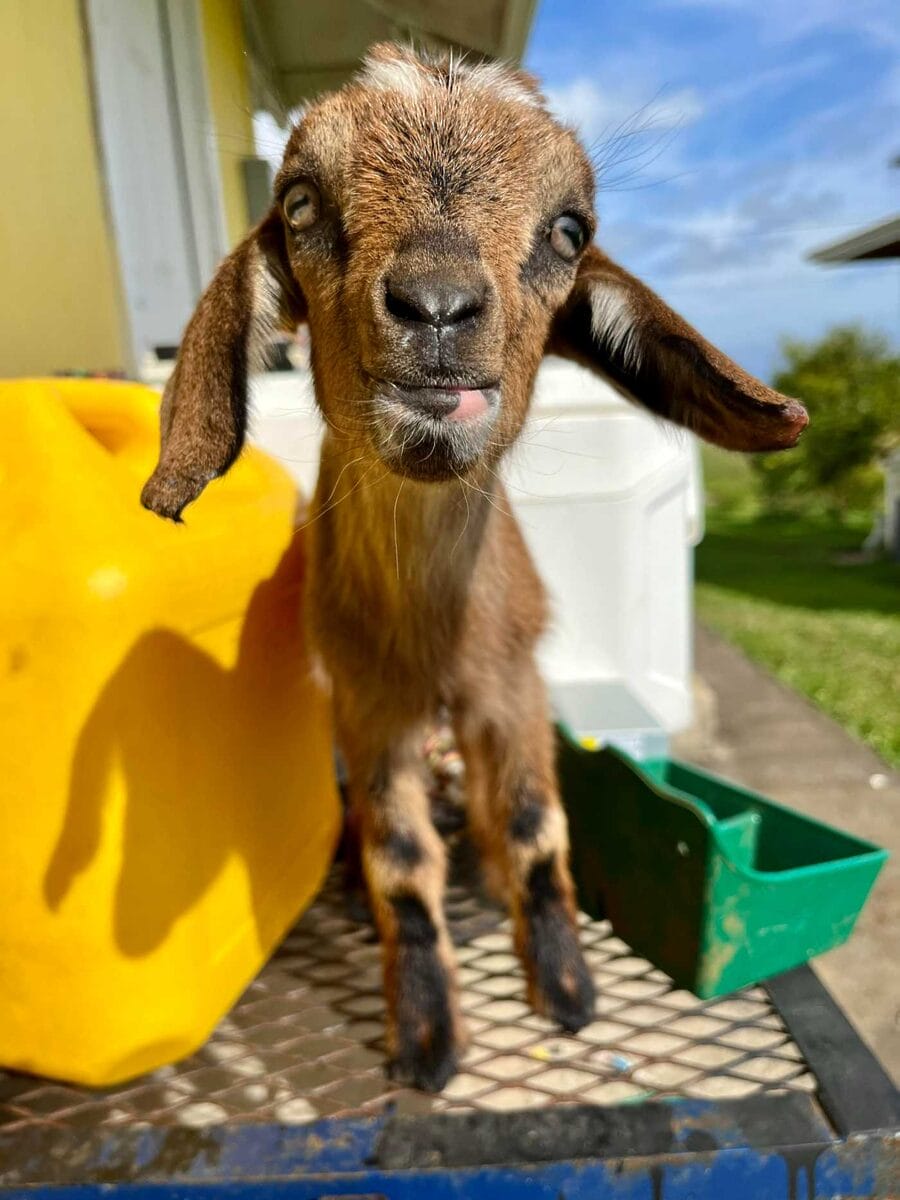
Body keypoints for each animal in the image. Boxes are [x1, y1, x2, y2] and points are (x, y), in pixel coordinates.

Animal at [141, 43, 807, 1091]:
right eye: (300, 203)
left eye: (571, 230)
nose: (439, 309)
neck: (433, 630)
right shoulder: (368, 710)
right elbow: (401, 862)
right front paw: (426, 1038)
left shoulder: (513, 685)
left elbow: (537, 831)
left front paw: (567, 990)